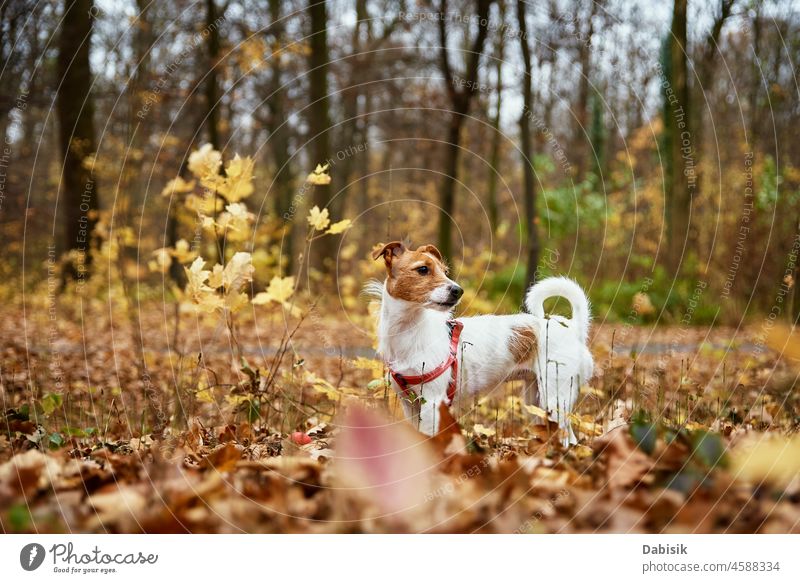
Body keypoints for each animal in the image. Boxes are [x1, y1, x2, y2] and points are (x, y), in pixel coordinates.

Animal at [370, 242, 592, 448]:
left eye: (445, 271)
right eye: (423, 269)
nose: (458, 290)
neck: (409, 331)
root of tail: (573, 329)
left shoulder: (432, 403)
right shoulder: (410, 404)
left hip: (555, 397)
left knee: (565, 437)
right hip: (536, 400)